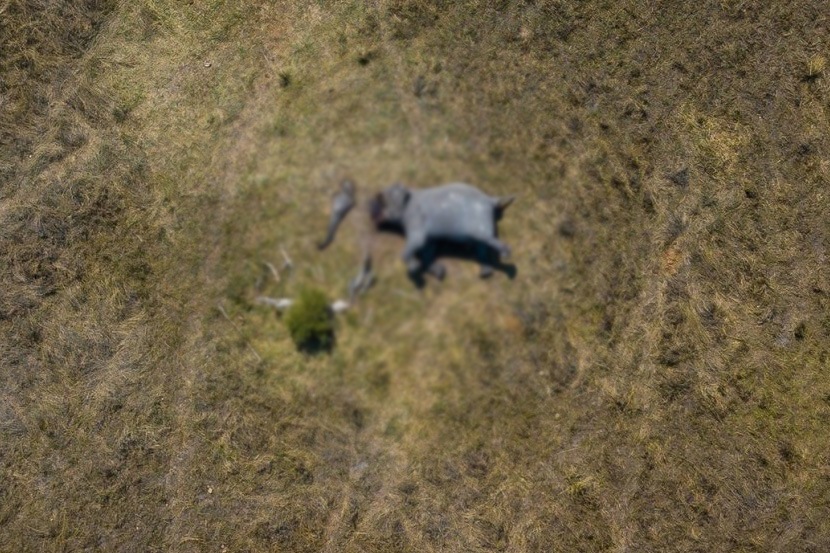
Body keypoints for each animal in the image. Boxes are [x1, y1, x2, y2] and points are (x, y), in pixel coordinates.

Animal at [370, 180, 512, 276]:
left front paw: (414, 268)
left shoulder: (415, 218)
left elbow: (417, 242)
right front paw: (439, 271)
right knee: (482, 247)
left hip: (479, 222)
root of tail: (491, 200)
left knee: (488, 240)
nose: (376, 194)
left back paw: (506, 255)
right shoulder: (429, 237)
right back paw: (485, 272)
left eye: (386, 195)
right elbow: (427, 250)